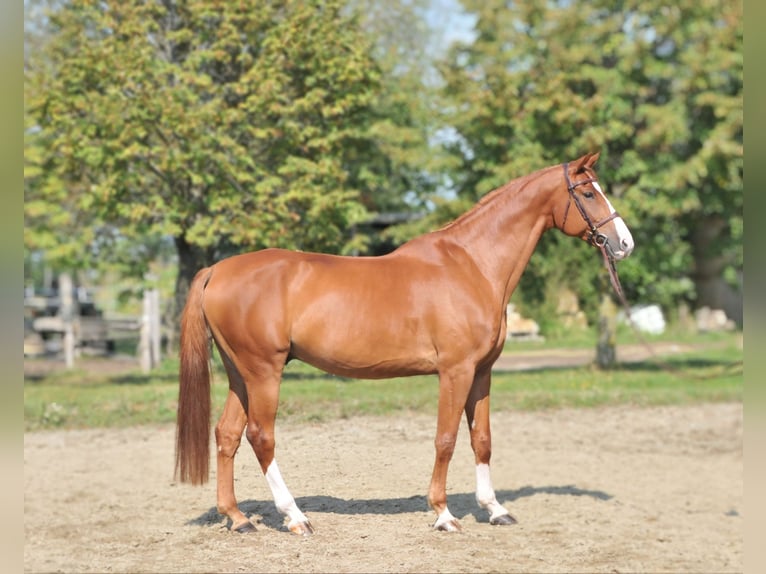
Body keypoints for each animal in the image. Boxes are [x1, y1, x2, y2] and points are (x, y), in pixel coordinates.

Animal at [176, 152, 636, 536]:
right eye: (589, 192)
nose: (625, 243)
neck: (473, 265)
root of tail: (218, 270)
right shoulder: (455, 371)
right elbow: (446, 439)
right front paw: (444, 514)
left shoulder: (482, 373)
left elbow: (482, 439)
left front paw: (495, 509)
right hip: (264, 372)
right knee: (261, 436)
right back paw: (295, 517)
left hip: (240, 374)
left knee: (228, 434)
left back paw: (238, 518)